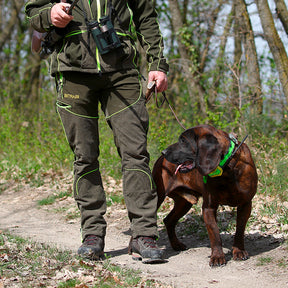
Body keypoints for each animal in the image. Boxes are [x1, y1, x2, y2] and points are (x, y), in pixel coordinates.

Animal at [154, 125, 258, 266]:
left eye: (183, 141)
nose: (163, 152)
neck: (227, 169)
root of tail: (159, 161)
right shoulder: (209, 207)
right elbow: (214, 233)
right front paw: (217, 256)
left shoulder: (245, 204)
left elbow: (240, 229)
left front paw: (239, 251)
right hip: (158, 197)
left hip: (184, 203)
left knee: (168, 220)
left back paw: (176, 244)